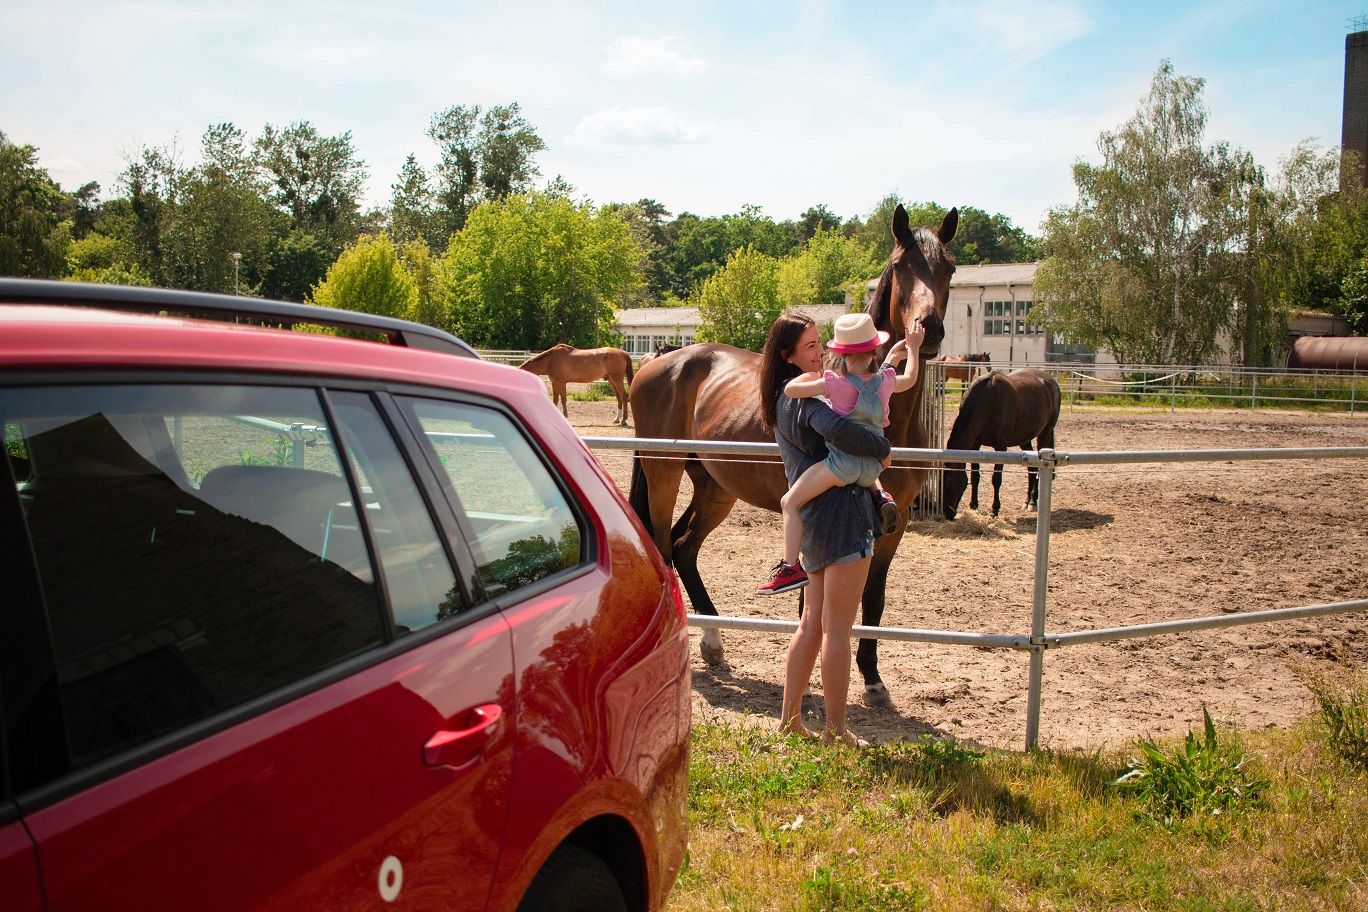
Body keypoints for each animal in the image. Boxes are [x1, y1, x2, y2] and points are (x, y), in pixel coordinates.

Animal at [626, 205, 957, 705]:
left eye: (949, 269)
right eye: (901, 266)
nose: (929, 329)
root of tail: (657, 361)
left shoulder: (894, 521)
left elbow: (874, 598)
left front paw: (873, 679)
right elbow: (812, 601)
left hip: (715, 488)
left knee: (685, 547)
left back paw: (713, 641)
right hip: (663, 472)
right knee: (664, 546)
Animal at [946, 366, 1061, 519]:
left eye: (949, 480)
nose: (947, 513)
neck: (987, 402)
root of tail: (1051, 382)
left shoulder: (1001, 447)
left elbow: (996, 479)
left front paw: (994, 509)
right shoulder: (975, 445)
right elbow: (975, 476)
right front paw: (973, 504)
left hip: (1045, 433)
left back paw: (1033, 502)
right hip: (1024, 438)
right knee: (1031, 467)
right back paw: (1027, 501)